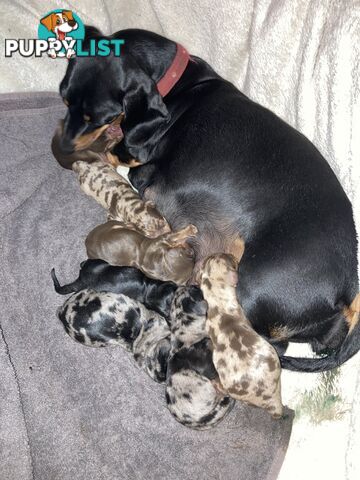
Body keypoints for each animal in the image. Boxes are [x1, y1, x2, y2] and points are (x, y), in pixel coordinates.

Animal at [57, 26, 360, 372]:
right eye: (63, 97)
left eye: (97, 117)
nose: (61, 150)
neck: (180, 83)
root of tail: (349, 291)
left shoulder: (140, 166)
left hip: (249, 285)